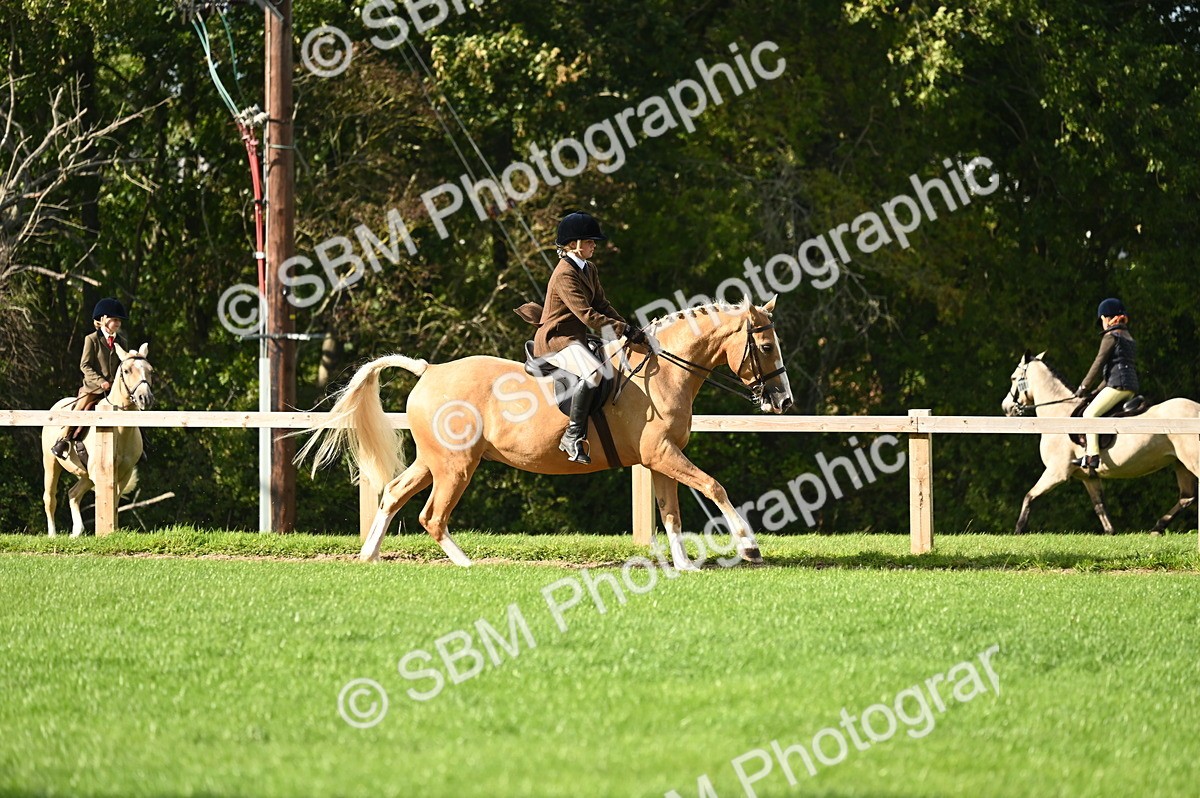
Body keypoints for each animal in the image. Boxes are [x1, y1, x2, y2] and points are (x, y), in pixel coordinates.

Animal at [41, 342, 155, 537]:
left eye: (150, 371)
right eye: (126, 370)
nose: (145, 398)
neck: (120, 431)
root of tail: (57, 406)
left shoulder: (123, 474)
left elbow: (115, 500)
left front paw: (112, 530)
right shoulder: (100, 474)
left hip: (85, 475)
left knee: (73, 494)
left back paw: (76, 532)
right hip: (51, 463)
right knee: (50, 498)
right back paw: (53, 535)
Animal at [298, 297, 794, 569]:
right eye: (766, 346)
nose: (783, 401)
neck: (665, 372)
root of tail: (429, 370)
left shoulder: (659, 460)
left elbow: (671, 513)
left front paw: (685, 566)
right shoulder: (663, 455)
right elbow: (715, 486)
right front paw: (749, 547)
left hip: (433, 461)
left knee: (395, 494)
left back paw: (368, 556)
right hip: (455, 466)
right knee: (431, 516)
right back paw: (468, 564)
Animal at [1001, 350, 1200, 534]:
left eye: (1013, 378)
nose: (1006, 407)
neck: (1060, 415)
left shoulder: (1057, 472)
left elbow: (1029, 496)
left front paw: (1018, 531)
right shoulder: (1089, 478)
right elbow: (1100, 506)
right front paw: (1111, 533)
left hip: (1192, 461)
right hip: (1181, 463)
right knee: (1186, 497)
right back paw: (1157, 528)